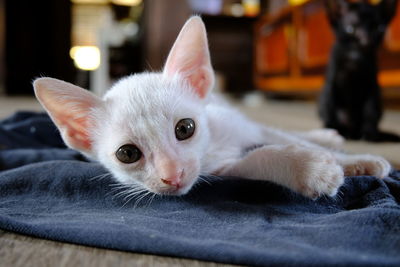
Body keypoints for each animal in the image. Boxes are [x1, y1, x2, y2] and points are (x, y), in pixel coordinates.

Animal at [33, 16, 390, 199]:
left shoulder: (242, 127)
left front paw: (356, 161)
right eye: (128, 154)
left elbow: (281, 138)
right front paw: (311, 169)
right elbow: (258, 159)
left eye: (185, 128)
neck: (214, 145)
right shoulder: (222, 171)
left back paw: (327, 136)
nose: (172, 177)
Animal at [318, 0, 400, 142]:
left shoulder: (371, 84)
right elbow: (331, 105)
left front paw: (369, 133)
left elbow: (370, 109)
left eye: (378, 28)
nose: (366, 41)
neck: (355, 58)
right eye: (350, 28)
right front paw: (335, 130)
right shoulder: (332, 80)